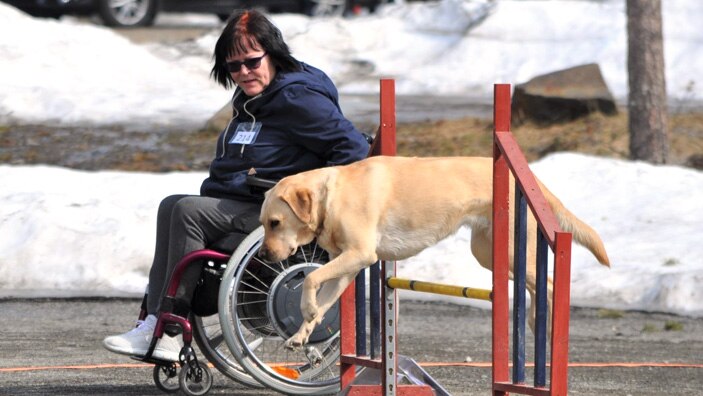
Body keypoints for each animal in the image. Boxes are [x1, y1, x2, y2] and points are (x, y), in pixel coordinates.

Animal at [258, 156, 612, 348]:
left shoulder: (361, 254)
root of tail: (533, 180)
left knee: (548, 283)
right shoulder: (346, 267)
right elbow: (321, 292)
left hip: (511, 250)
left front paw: (307, 310)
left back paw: (549, 329)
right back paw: (535, 322)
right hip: (488, 253)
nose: (263, 257)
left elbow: (310, 279)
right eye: (263, 224)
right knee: (534, 286)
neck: (330, 196)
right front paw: (302, 333)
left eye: (275, 223)